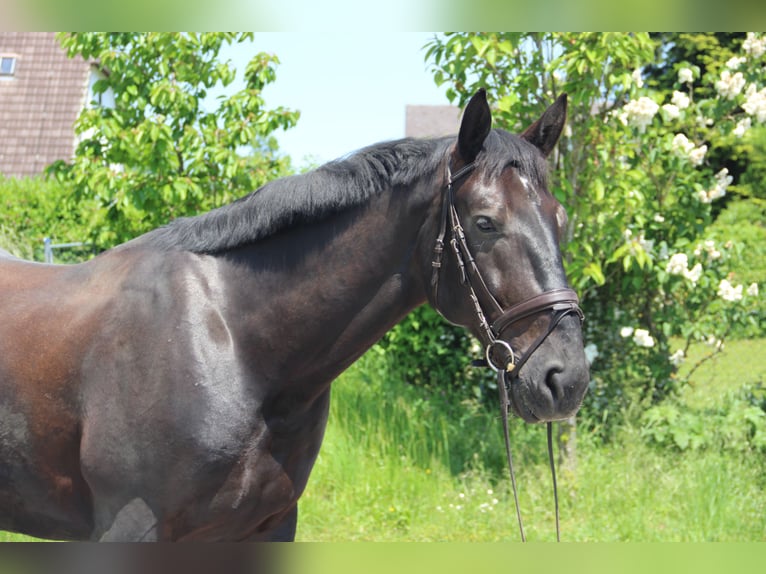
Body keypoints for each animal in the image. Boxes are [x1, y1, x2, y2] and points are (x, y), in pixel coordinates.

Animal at [0, 90, 588, 540]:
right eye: (485, 223)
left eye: (562, 221)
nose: (567, 379)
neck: (236, 346)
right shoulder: (131, 529)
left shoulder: (268, 524)